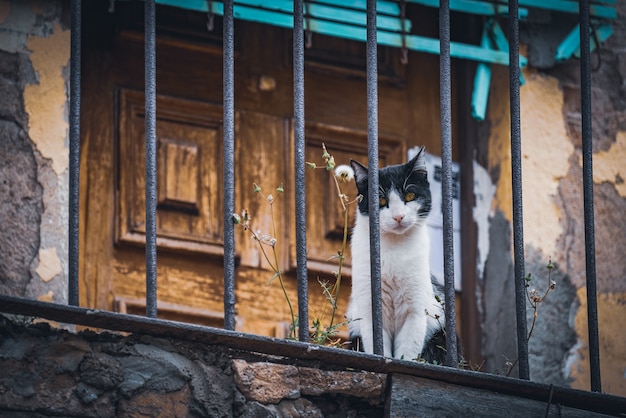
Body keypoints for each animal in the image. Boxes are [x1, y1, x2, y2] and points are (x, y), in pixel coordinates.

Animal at [348, 147, 446, 362]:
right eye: (381, 200)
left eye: (409, 195)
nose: (399, 216)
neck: (394, 248)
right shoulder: (369, 311)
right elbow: (379, 350)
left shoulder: (415, 312)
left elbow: (407, 353)